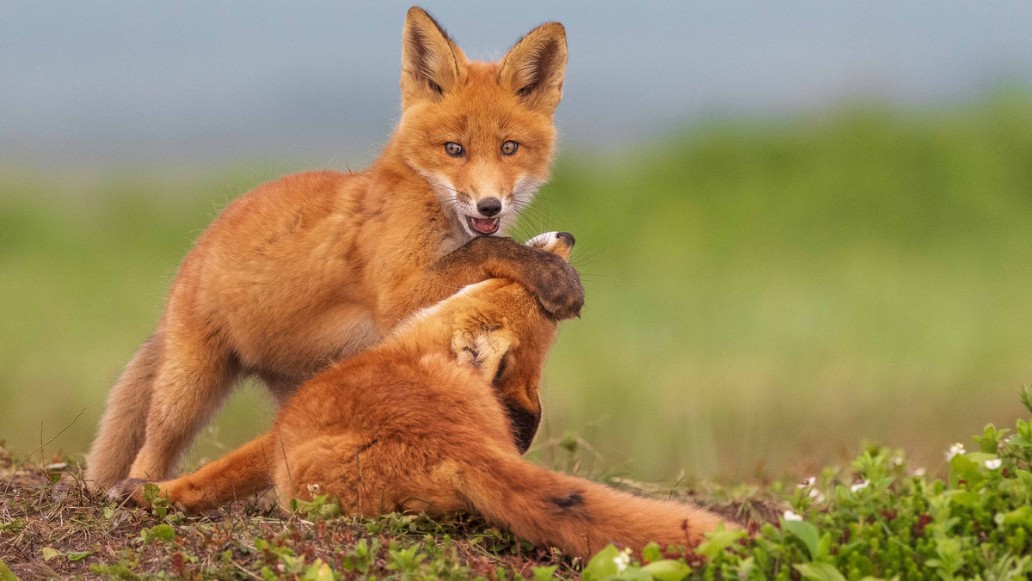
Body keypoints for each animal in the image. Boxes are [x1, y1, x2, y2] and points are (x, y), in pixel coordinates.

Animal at [84, 7, 586, 491]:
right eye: (453, 149)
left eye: (509, 148)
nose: (489, 204)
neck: (424, 196)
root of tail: (195, 251)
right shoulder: (398, 295)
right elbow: (488, 251)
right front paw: (554, 277)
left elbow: (486, 251)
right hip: (188, 387)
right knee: (151, 448)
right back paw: (136, 490)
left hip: (301, 380)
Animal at [110, 234, 726, 561]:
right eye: (525, 292)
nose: (569, 238)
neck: (410, 349)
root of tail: (463, 444)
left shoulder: (278, 437)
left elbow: (214, 476)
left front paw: (146, 495)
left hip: (306, 479)